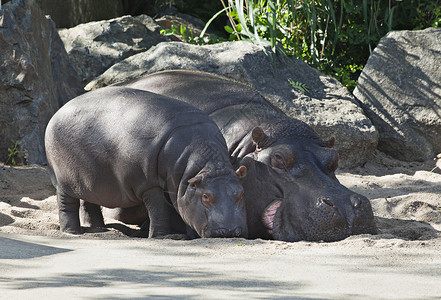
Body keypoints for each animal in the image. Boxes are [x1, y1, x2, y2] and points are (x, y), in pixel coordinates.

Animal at [46, 85, 249, 238]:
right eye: (206, 196)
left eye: (240, 193)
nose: (229, 232)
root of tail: (58, 111)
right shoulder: (148, 183)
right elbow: (159, 209)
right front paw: (161, 236)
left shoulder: (182, 187)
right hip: (63, 180)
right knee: (66, 203)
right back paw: (72, 232)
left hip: (89, 179)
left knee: (89, 203)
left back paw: (98, 229)